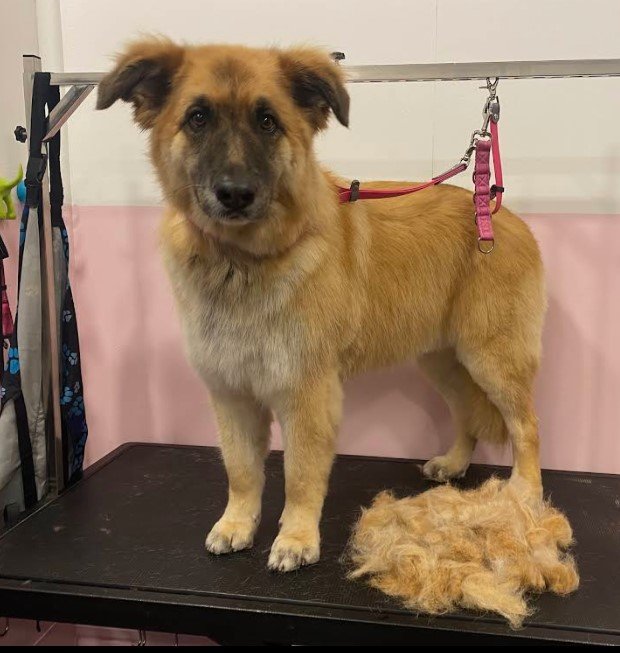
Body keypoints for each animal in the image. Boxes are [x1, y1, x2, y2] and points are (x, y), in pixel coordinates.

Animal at [97, 39, 546, 572]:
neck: (243, 262)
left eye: (267, 121)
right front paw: (237, 524)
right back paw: (454, 462)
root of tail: (496, 210)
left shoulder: (306, 394)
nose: (235, 194)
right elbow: (241, 470)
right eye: (198, 117)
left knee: (526, 425)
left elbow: (300, 473)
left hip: (491, 359)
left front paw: (296, 538)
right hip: (443, 361)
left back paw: (526, 492)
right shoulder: (231, 394)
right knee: (466, 415)